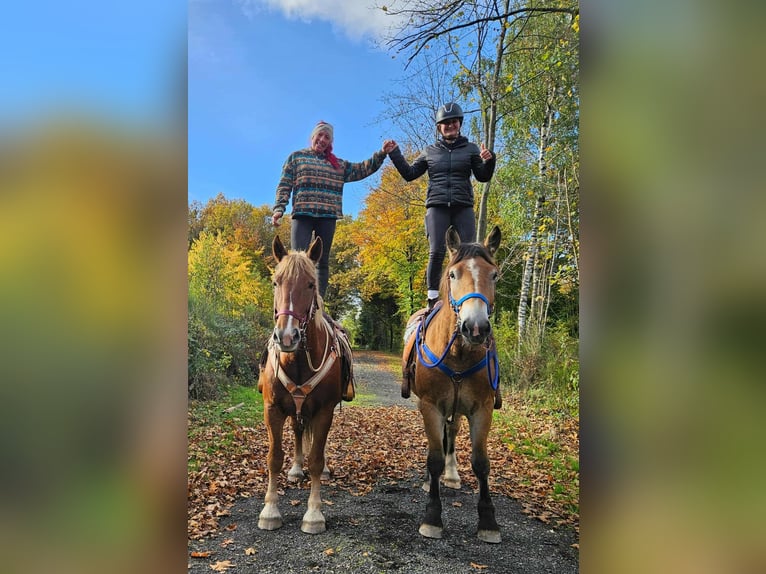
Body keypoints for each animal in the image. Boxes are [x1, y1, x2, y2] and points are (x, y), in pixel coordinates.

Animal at [256, 234, 346, 534]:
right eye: (276, 282)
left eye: (310, 284)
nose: (287, 336)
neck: (297, 360)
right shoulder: (272, 409)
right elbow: (274, 458)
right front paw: (270, 510)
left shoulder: (324, 411)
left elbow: (316, 459)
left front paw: (314, 514)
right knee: (297, 430)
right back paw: (296, 469)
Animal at [403, 225, 502, 543]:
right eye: (453, 274)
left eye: (494, 275)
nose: (476, 327)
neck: (458, 353)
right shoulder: (430, 406)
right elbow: (433, 457)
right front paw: (432, 516)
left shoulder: (483, 408)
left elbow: (481, 462)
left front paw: (488, 521)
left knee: (453, 431)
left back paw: (452, 474)